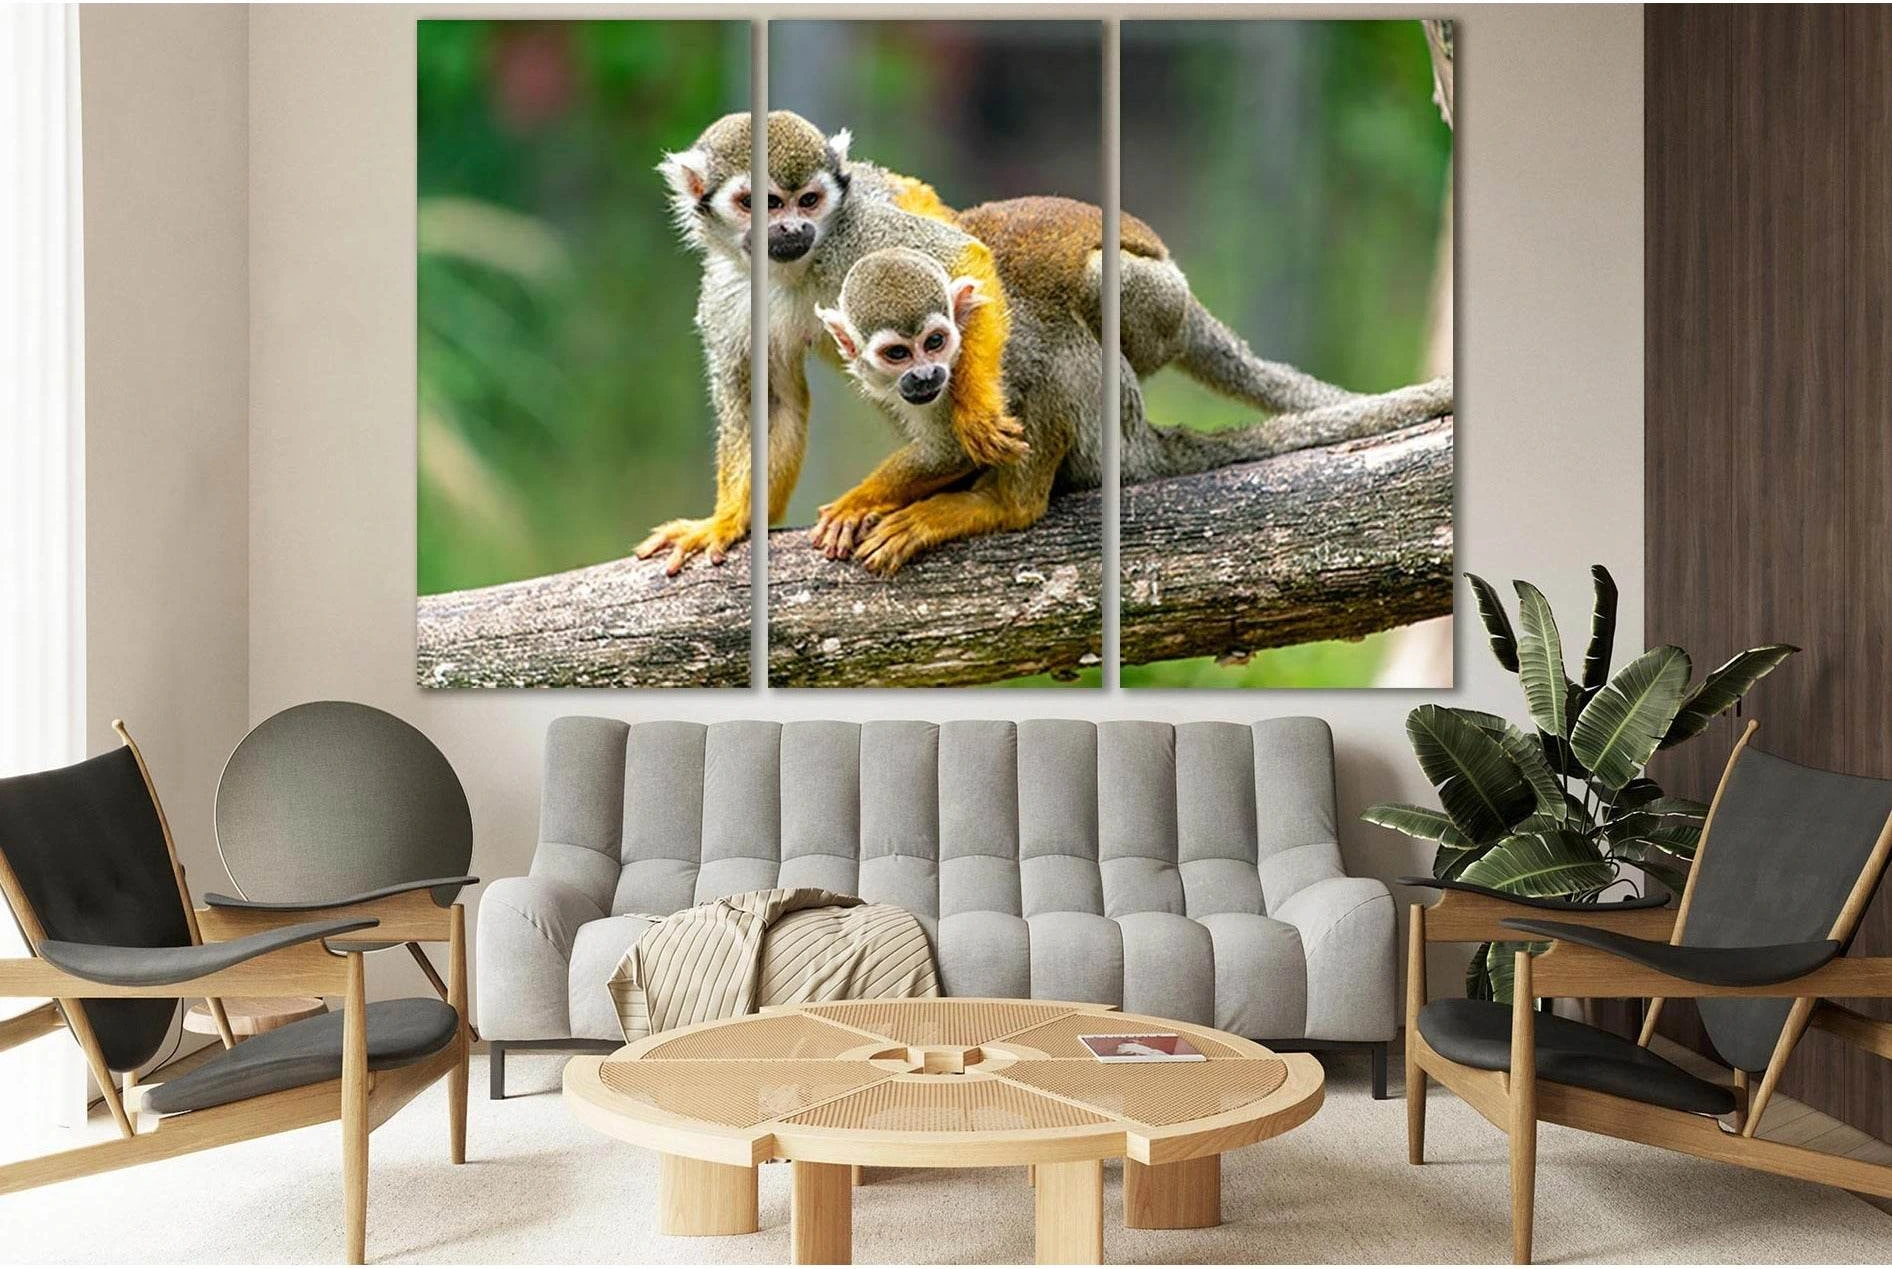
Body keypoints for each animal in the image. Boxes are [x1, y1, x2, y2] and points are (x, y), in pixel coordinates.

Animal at [633, 110, 1026, 575]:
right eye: (761, 203)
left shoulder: (854, 229)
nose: (792, 228)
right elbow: (770, 405)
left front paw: (978, 414)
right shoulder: (729, 293)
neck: (795, 270)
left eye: (808, 201)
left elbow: (962, 255)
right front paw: (727, 520)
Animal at [813, 196, 1453, 575]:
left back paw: (1004, 504)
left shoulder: (985, 352)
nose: (926, 375)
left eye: (936, 342)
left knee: (1068, 353)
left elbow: (968, 433)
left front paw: (860, 499)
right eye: (897, 354)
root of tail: (1144, 440)